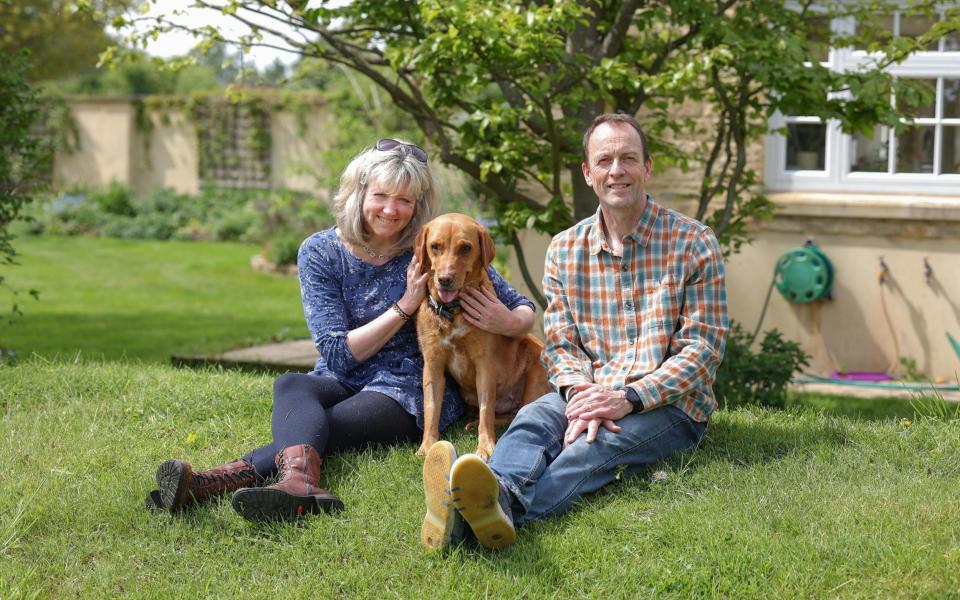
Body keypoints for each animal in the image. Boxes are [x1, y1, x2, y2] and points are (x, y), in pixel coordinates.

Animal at [410, 212, 548, 460]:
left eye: (466, 248)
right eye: (435, 246)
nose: (445, 278)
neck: (453, 312)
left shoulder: (484, 365)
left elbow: (486, 411)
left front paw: (485, 446)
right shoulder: (432, 365)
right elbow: (431, 409)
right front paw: (427, 446)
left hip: (534, 376)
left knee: (518, 413)